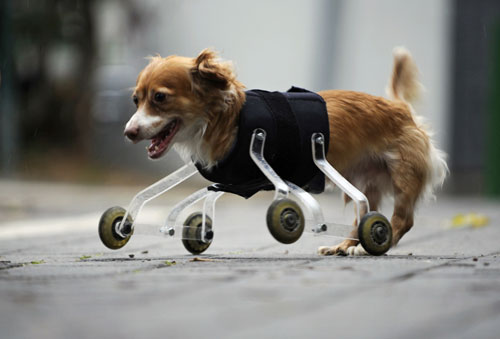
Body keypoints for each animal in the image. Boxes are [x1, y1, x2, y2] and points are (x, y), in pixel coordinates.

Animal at [123, 47, 448, 255]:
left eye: (160, 98)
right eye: (136, 100)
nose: (129, 132)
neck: (227, 120)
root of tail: (400, 108)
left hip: (402, 175)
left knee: (399, 220)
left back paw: (376, 243)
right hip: (364, 181)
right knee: (363, 215)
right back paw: (345, 246)